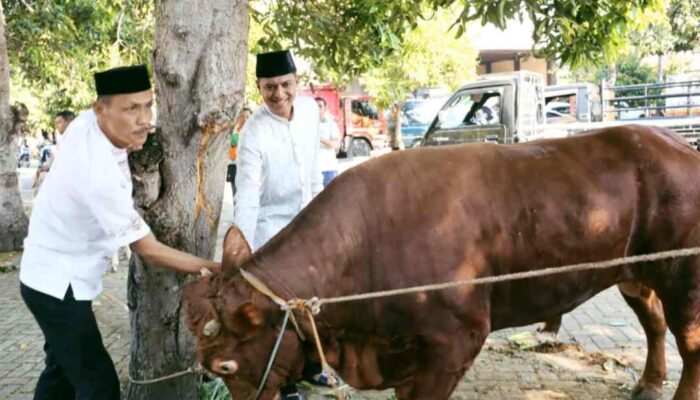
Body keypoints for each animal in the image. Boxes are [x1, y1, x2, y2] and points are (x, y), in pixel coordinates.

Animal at [185, 126, 700, 400]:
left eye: (225, 366)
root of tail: (671, 141)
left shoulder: (456, 340)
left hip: (683, 277)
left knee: (689, 343)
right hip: (636, 273)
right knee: (654, 323)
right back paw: (649, 382)